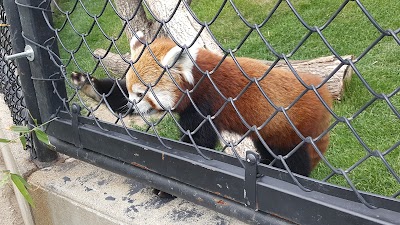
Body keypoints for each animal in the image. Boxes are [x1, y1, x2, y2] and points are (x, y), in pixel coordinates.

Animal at [125, 31, 332, 176]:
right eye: (129, 91)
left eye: (141, 93)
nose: (131, 106)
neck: (198, 78)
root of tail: (322, 96)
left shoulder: (205, 105)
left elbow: (199, 140)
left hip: (292, 131)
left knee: (293, 161)